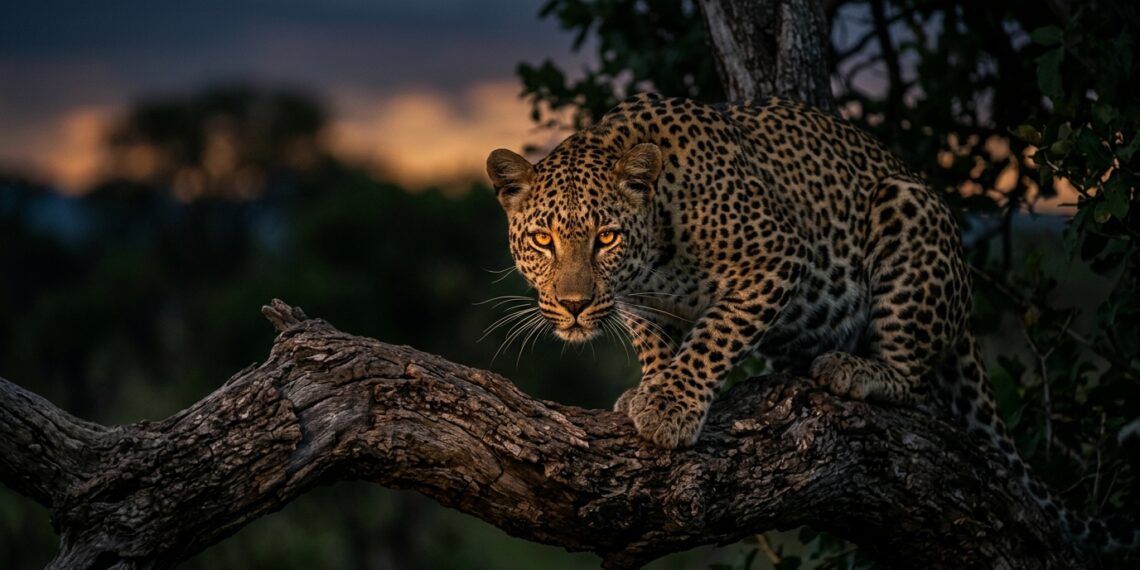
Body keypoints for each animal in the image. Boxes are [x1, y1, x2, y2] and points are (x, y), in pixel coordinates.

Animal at [485, 92, 1137, 550]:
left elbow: (713, 337)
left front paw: (671, 405)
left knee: (914, 380)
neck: (656, 247)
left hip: (908, 210)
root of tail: (964, 311)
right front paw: (651, 387)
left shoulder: (775, 257)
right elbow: (654, 341)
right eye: (542, 240)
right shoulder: (644, 303)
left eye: (607, 238)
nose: (573, 304)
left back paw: (856, 370)